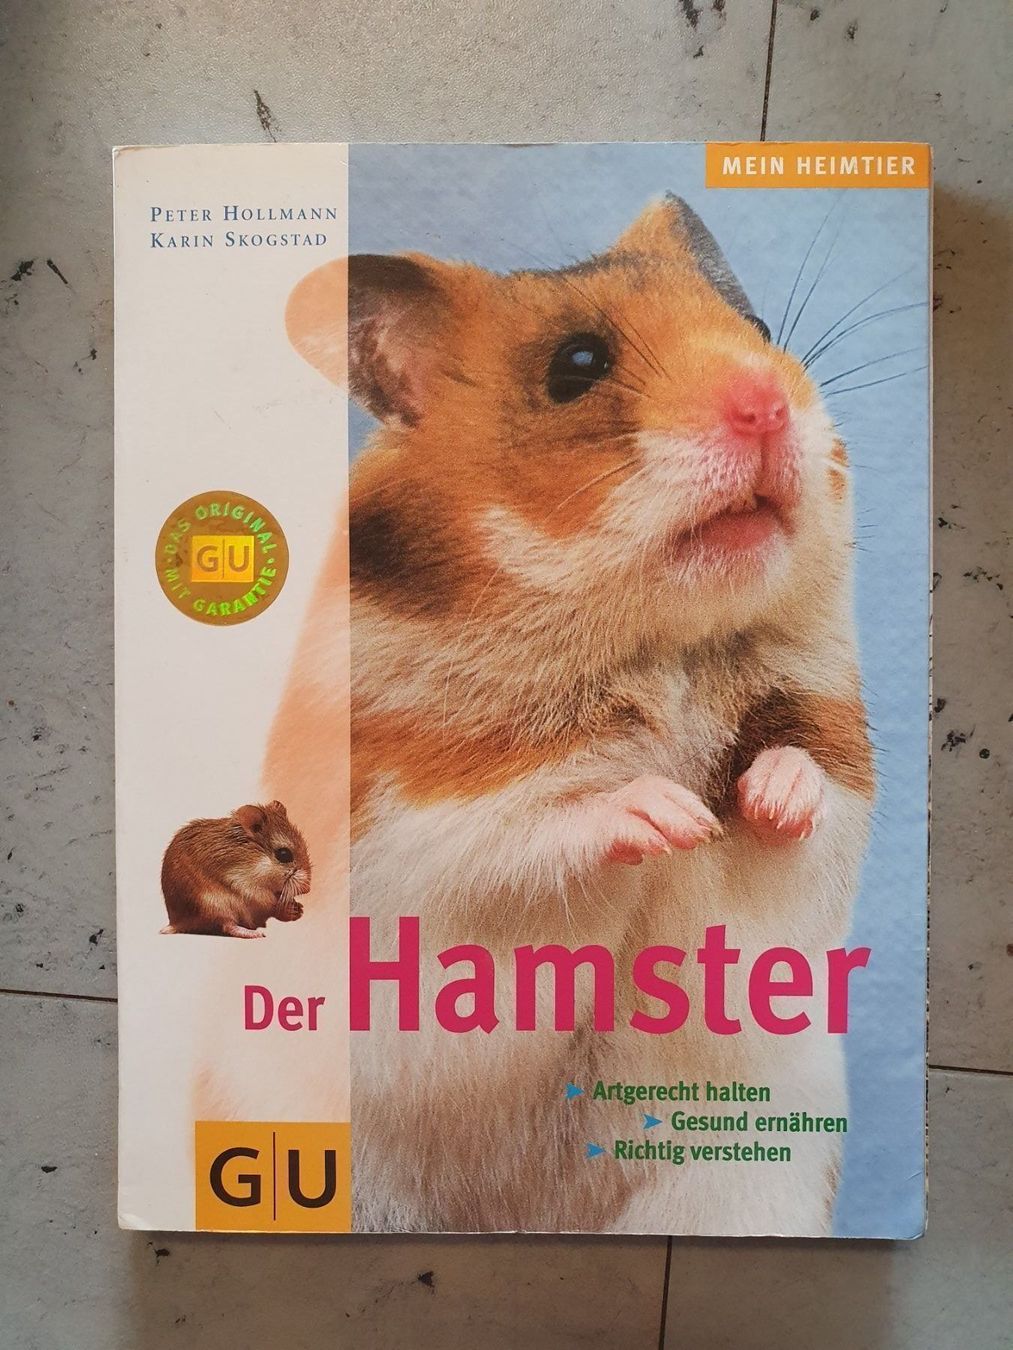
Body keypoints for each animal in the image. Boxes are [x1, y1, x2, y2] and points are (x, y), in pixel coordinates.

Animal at [160, 800, 311, 939]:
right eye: (284, 854)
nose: (308, 889)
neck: (255, 859)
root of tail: (176, 923)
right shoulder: (247, 886)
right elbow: (270, 903)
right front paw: (292, 909)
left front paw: (299, 909)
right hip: (215, 905)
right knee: (228, 926)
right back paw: (255, 933)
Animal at [272, 194, 874, 1234]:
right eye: (577, 365)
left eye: (760, 329)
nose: (767, 400)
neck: (659, 652)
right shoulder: (417, 852)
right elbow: (530, 835)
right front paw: (669, 813)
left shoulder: (809, 854)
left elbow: (803, 806)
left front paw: (761, 797)